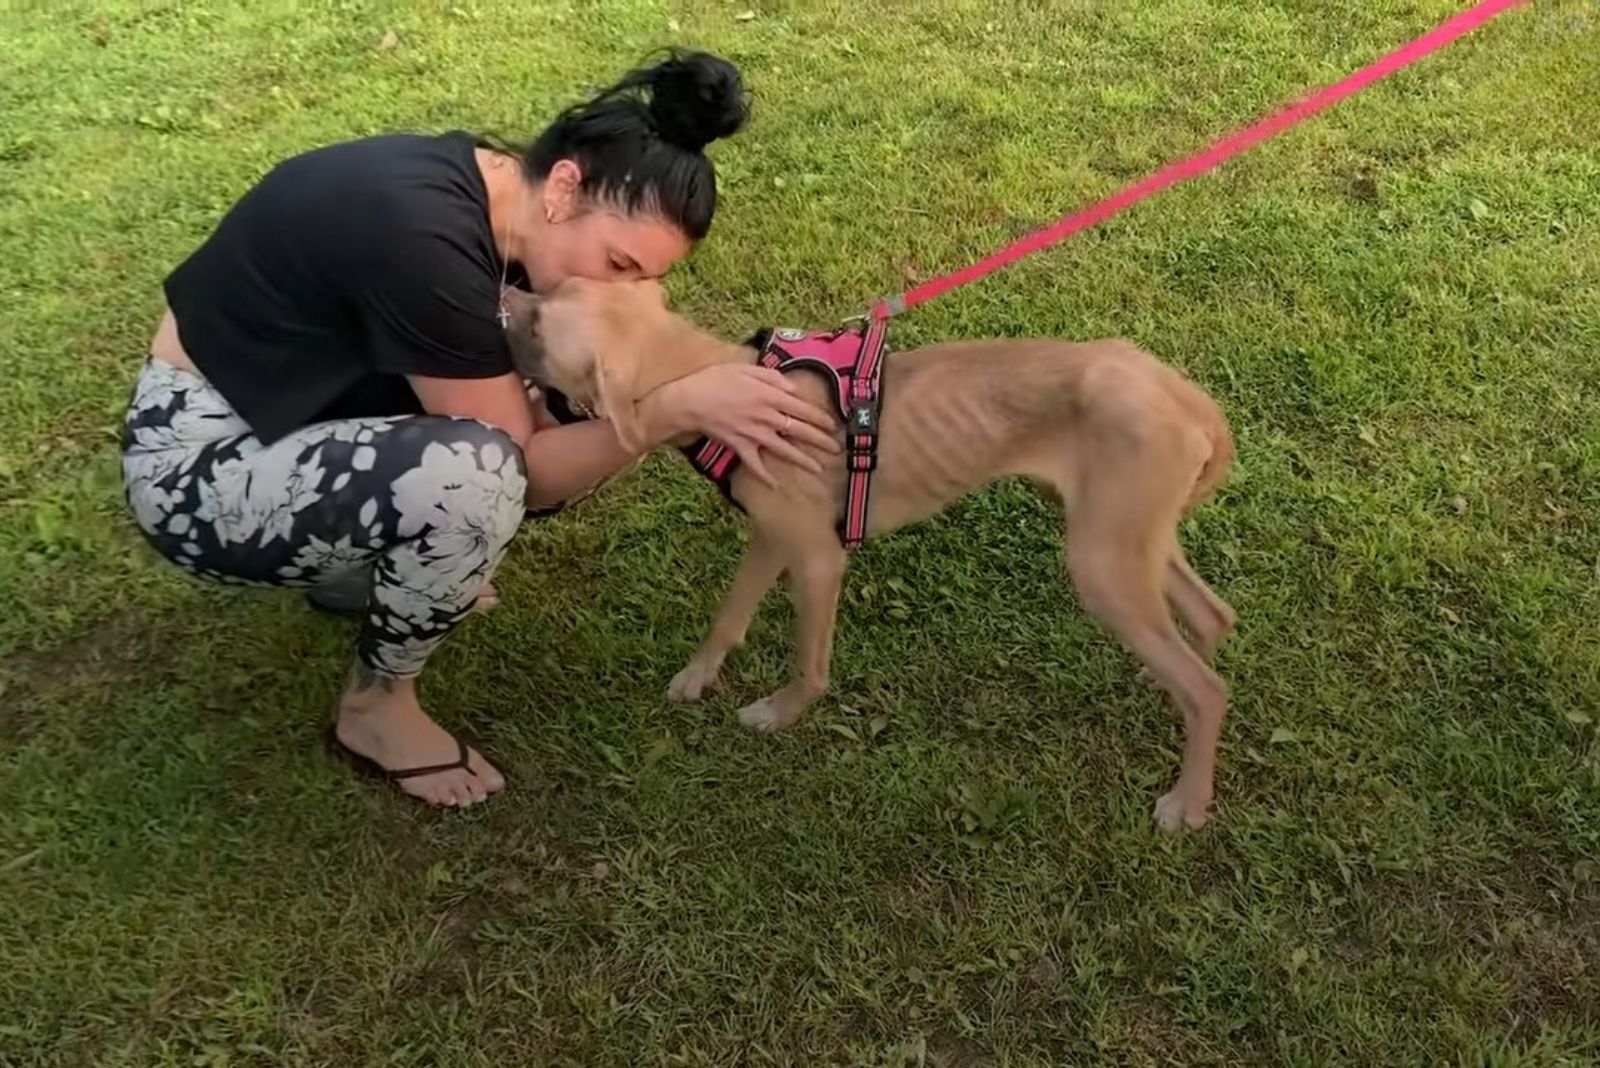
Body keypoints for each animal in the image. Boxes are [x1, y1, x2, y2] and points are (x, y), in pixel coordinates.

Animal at [512, 279, 1235, 831]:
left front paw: (780, 714)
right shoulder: (771, 537)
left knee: (1209, 689)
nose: (502, 293)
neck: (726, 380)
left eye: (540, 324)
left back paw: (1188, 801)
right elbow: (728, 616)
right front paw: (697, 677)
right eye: (553, 288)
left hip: (1100, 562)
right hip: (1127, 540)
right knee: (1211, 619)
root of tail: (1184, 394)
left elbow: (809, 666)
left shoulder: (818, 559)